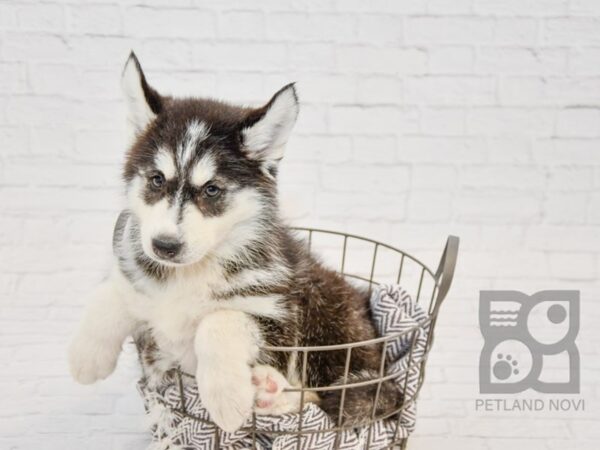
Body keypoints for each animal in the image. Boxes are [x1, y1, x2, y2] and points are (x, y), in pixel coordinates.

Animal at [68, 52, 400, 432]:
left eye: (212, 189)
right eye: (156, 180)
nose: (165, 246)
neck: (191, 273)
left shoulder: (277, 317)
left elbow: (218, 320)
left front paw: (226, 397)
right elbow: (112, 290)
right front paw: (86, 355)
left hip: (324, 308)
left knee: (334, 403)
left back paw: (274, 393)